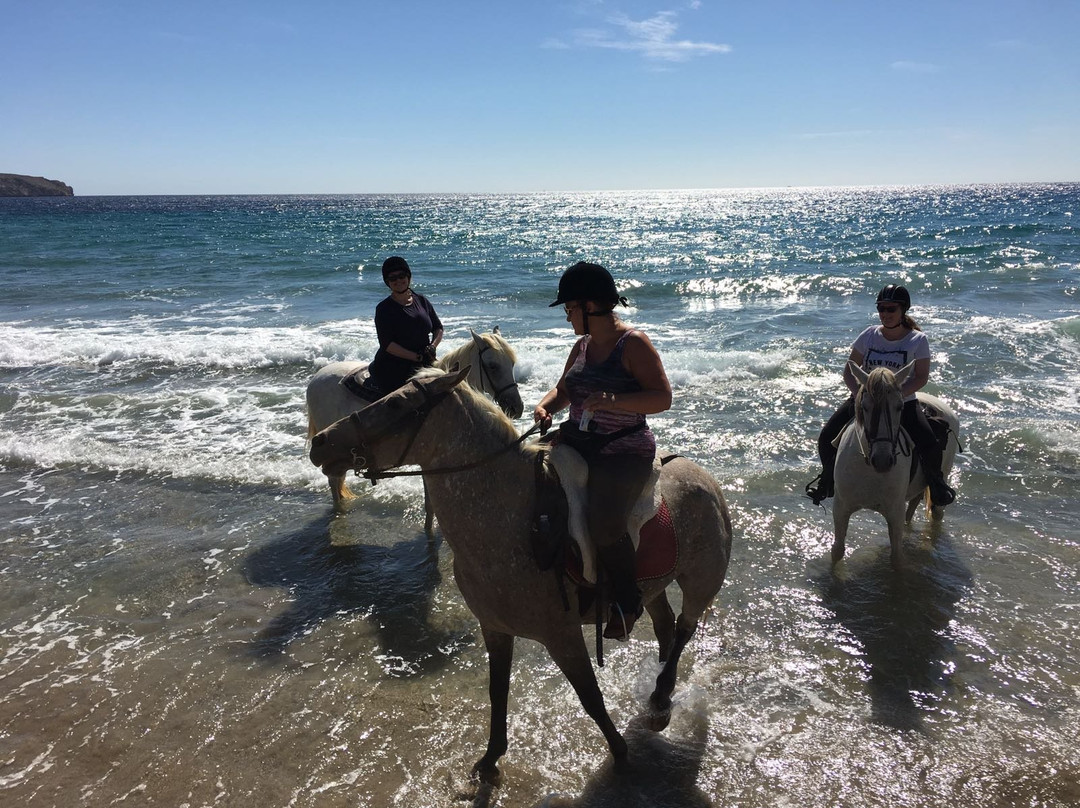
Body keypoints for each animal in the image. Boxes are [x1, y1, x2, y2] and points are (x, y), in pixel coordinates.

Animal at [304, 328, 522, 518]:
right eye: (493, 366)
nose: (516, 407)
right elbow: (430, 505)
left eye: (512, 364)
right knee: (334, 482)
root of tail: (316, 378)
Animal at [829, 362, 959, 566]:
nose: (882, 461)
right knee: (911, 511)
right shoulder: (841, 508)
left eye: (899, 407)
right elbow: (837, 550)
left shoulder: (894, 512)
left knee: (937, 513)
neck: (869, 471)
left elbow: (897, 557)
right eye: (864, 407)